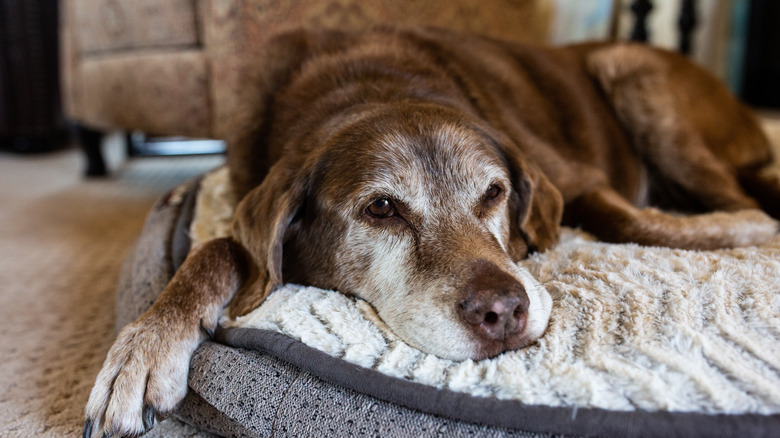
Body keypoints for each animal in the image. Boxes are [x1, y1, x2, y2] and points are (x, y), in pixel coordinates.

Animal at [82, 27, 776, 438]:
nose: (503, 313)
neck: (370, 85)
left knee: (741, 199)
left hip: (634, 73)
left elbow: (626, 218)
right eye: (383, 209)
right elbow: (220, 247)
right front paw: (143, 349)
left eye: (494, 193)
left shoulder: (575, 180)